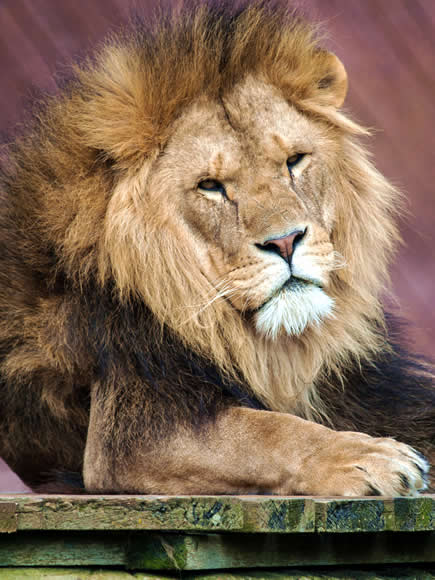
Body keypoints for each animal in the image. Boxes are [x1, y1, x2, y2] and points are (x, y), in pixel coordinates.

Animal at [0, 2, 435, 496]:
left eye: (294, 161)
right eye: (210, 186)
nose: (285, 241)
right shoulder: (132, 431)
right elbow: (269, 431)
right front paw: (368, 457)